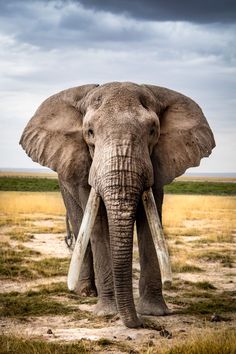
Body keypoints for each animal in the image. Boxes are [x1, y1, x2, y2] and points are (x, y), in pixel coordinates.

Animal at [19, 81, 215, 328]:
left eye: (153, 131)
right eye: (90, 132)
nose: (139, 323)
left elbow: (150, 223)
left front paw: (155, 312)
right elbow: (99, 226)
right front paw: (107, 313)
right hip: (65, 183)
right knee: (80, 224)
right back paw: (85, 293)